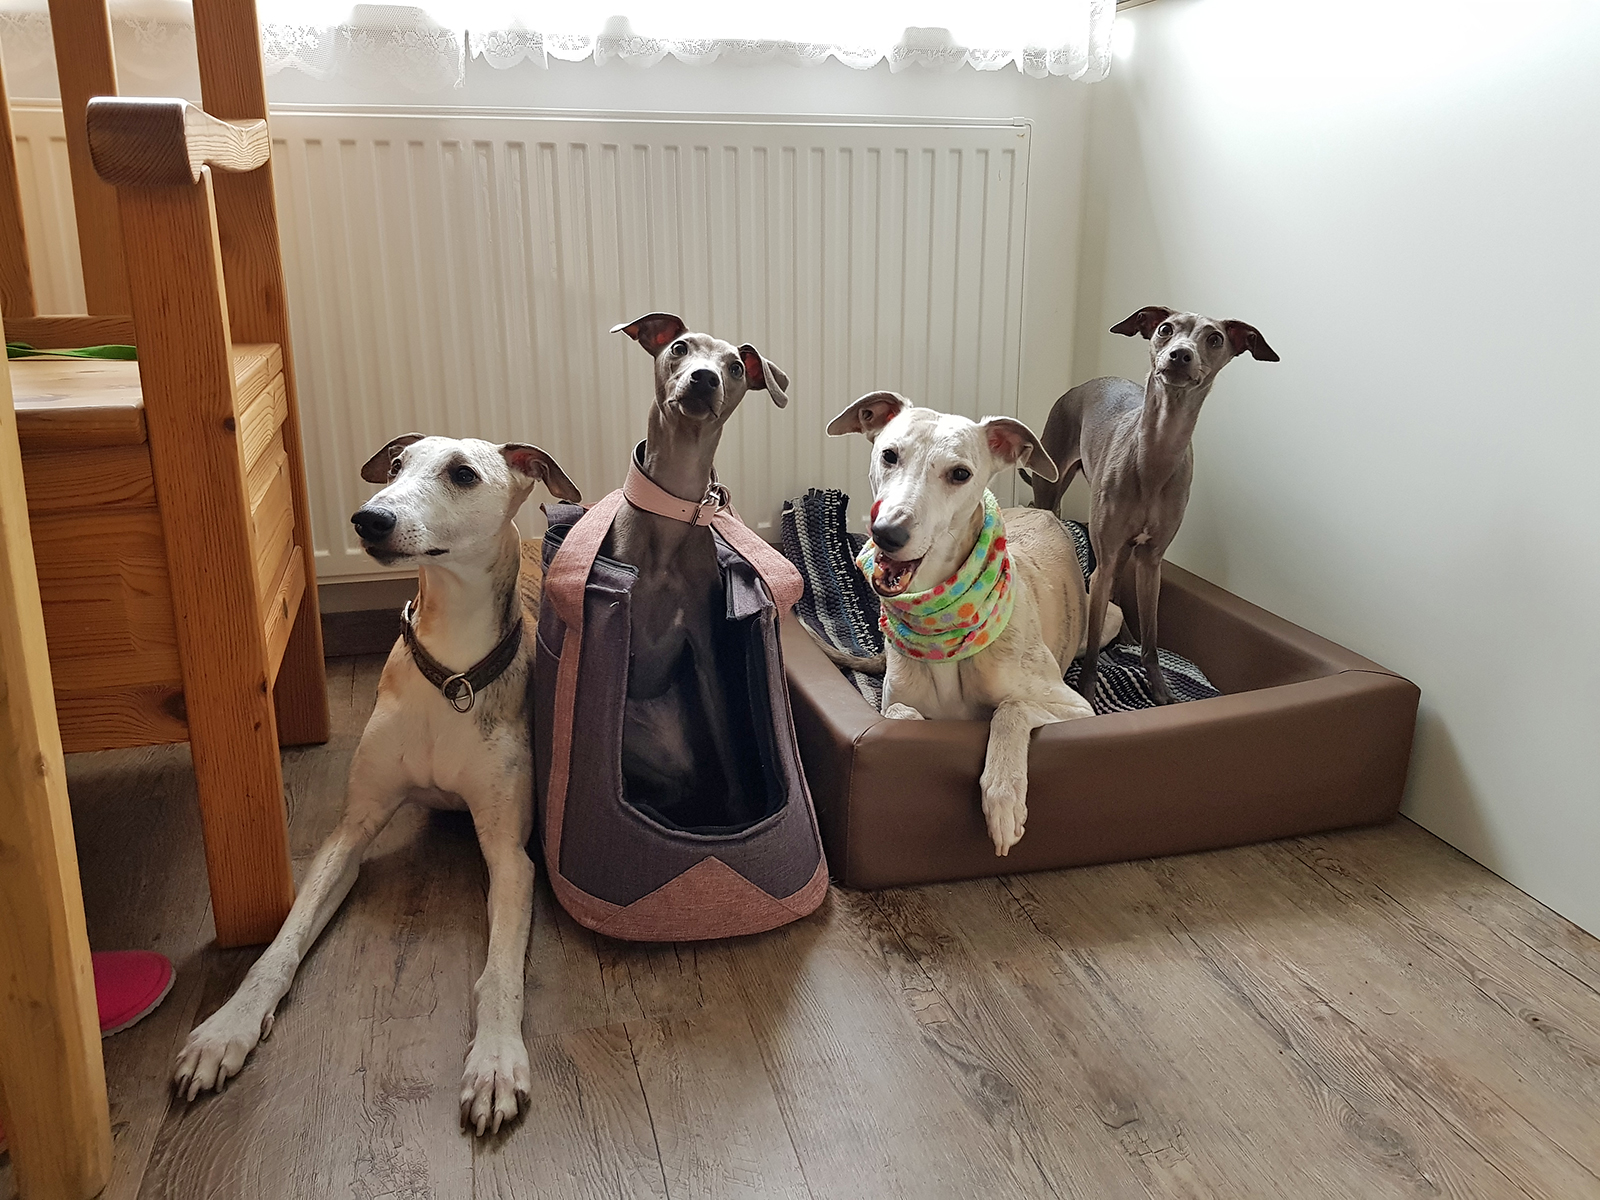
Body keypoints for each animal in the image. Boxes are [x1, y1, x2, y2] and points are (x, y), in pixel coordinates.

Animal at [170, 435, 580, 1137]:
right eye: (394, 466)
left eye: (462, 474)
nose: (369, 520)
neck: (452, 676)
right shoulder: (350, 831)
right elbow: (282, 942)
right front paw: (228, 1026)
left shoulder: (510, 857)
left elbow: (500, 972)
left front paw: (496, 1061)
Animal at [605, 313, 790, 830]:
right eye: (679, 348)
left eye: (735, 367)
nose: (705, 379)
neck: (673, 511)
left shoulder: (704, 649)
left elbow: (728, 743)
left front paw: (741, 811)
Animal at [826, 391, 1119, 856]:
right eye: (889, 454)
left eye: (960, 473)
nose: (887, 532)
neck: (944, 625)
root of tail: (1046, 512)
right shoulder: (894, 703)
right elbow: (900, 713)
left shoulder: (1076, 708)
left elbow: (1011, 709)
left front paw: (1003, 795)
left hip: (1106, 619)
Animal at [1026, 307, 1277, 705]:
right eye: (1165, 329)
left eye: (1215, 338)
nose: (1180, 355)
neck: (1154, 460)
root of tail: (1083, 384)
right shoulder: (1105, 561)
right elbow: (1093, 639)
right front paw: (1088, 688)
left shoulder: (1151, 560)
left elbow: (1152, 636)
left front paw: (1160, 690)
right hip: (1051, 489)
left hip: (1125, 549)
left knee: (1117, 591)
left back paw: (1126, 636)